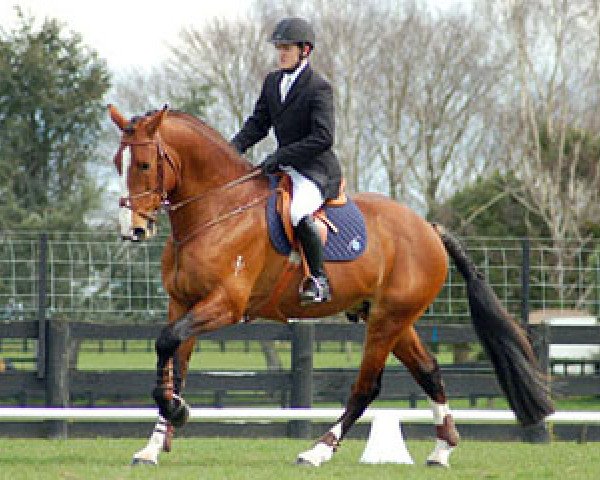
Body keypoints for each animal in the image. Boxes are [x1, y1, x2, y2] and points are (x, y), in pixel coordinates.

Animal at [108, 105, 552, 468]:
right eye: (117, 162)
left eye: (144, 165)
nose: (133, 230)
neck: (217, 212)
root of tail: (428, 228)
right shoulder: (182, 303)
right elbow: (175, 362)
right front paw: (155, 442)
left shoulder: (224, 305)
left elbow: (166, 343)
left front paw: (178, 412)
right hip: (392, 318)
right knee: (429, 371)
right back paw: (442, 449)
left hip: (388, 320)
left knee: (367, 387)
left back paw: (318, 450)